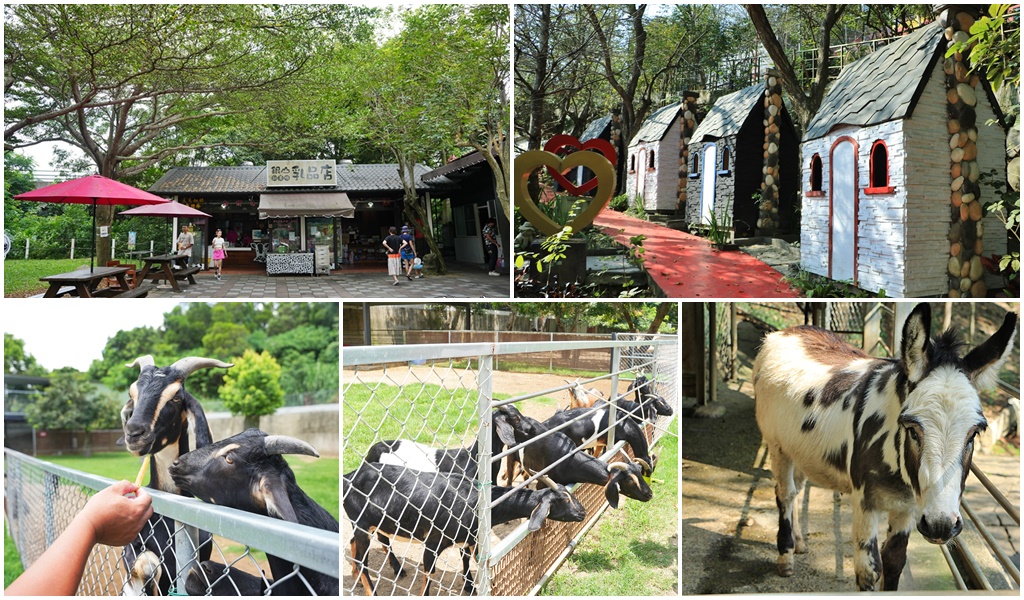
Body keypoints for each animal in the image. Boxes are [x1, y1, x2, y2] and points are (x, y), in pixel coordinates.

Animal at [344, 458, 585, 593]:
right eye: (563, 500)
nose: (582, 512)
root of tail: (350, 476)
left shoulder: (470, 536)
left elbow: (467, 557)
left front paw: (470, 586)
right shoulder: (433, 541)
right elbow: (429, 574)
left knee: (358, 544)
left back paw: (358, 578)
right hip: (363, 523)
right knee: (363, 559)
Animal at [491, 401, 651, 503]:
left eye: (639, 472)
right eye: (630, 481)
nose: (649, 493)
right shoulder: (543, 483)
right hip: (511, 458)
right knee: (511, 477)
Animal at [753, 303, 1015, 589]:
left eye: (974, 434)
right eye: (912, 430)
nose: (941, 527)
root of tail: (790, 330)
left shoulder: (908, 508)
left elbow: (894, 563)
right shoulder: (865, 502)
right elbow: (869, 569)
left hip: (800, 450)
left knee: (797, 489)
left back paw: (799, 542)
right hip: (777, 446)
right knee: (785, 493)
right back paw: (786, 556)